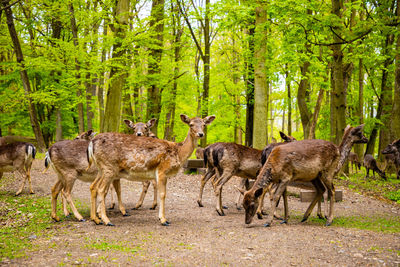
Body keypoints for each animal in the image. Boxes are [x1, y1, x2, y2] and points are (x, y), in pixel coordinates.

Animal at [86, 114, 216, 227]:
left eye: (204, 124)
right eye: (191, 124)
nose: (201, 134)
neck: (178, 153)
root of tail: (92, 142)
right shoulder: (162, 170)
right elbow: (163, 194)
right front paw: (163, 220)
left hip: (102, 168)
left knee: (93, 186)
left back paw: (96, 219)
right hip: (109, 167)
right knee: (101, 189)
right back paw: (107, 220)